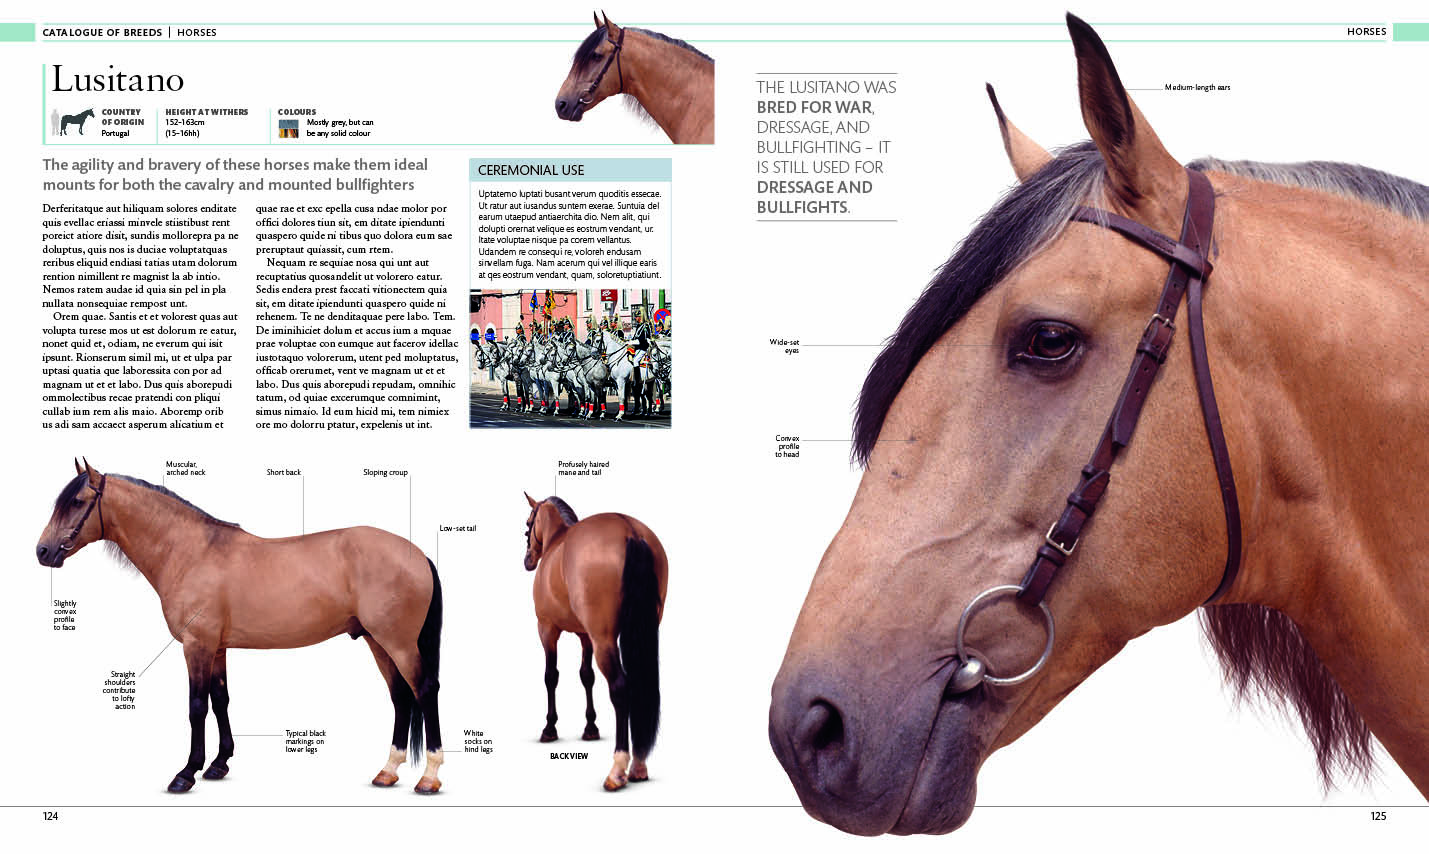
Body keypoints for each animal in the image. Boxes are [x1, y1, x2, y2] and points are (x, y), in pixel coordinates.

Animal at [36, 460, 447, 794]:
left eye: (77, 502)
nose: (42, 551)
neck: (190, 552)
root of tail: (418, 555)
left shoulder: (196, 646)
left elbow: (197, 706)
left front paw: (186, 773)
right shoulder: (217, 647)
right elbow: (221, 700)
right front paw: (219, 765)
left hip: (398, 642)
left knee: (424, 691)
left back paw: (429, 778)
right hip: (378, 641)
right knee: (401, 697)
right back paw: (388, 771)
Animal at [522, 493, 668, 790]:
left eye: (528, 523)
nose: (528, 560)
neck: (557, 541)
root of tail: (630, 531)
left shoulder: (547, 630)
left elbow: (551, 676)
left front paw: (550, 728)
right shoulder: (585, 635)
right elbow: (586, 676)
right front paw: (590, 728)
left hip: (604, 641)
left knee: (621, 688)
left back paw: (617, 769)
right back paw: (639, 766)